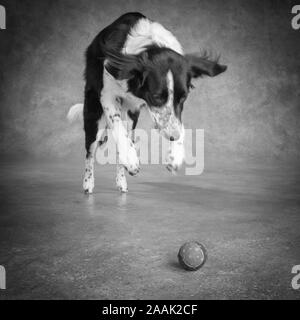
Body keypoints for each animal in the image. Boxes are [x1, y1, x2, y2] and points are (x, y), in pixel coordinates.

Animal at [67, 11, 227, 192]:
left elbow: (179, 123)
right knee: (90, 150)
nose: (173, 136)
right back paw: (88, 183)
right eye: (156, 97)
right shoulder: (107, 95)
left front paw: (176, 154)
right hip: (93, 110)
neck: (150, 44)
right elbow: (117, 127)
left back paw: (122, 181)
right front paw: (131, 159)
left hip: (131, 116)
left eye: (183, 97)